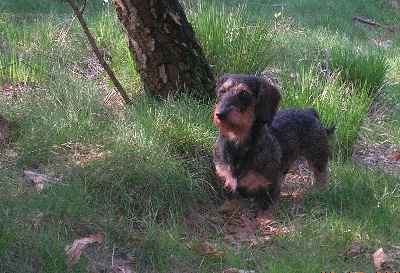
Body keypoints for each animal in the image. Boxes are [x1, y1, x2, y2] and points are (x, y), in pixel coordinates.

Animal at [212, 74, 334, 223]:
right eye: (222, 91)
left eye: (244, 93)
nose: (220, 114)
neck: (237, 147)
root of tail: (309, 111)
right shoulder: (227, 180)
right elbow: (231, 195)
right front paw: (227, 208)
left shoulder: (269, 184)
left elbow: (267, 201)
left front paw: (265, 219)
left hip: (317, 157)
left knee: (321, 175)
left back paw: (319, 192)